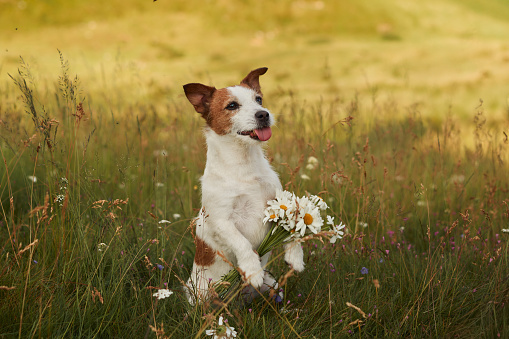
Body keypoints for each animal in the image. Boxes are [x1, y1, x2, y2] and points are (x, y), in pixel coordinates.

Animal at [185, 67, 304, 304]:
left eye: (258, 100)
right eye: (232, 105)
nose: (263, 114)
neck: (244, 164)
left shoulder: (277, 203)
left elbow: (293, 221)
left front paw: (295, 256)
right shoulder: (222, 221)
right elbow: (242, 243)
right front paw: (253, 269)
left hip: (273, 286)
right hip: (200, 296)